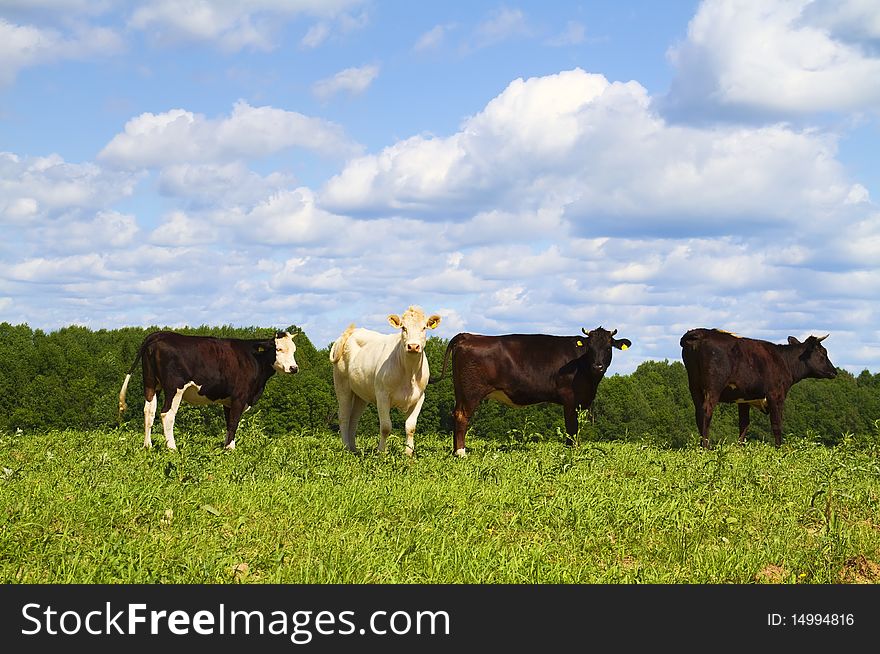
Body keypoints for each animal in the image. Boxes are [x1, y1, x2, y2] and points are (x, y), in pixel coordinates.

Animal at [117, 334, 300, 452]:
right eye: (279, 349)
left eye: (294, 350)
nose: (294, 368)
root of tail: (159, 334)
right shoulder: (239, 397)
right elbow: (234, 422)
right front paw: (231, 449)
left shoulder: (228, 401)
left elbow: (228, 423)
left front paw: (226, 446)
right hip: (174, 388)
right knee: (166, 414)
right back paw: (172, 447)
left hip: (151, 383)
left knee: (149, 411)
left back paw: (147, 445)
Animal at [328, 306, 440, 456]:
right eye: (403, 328)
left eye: (424, 328)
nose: (413, 346)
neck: (409, 373)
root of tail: (351, 331)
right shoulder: (382, 395)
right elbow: (386, 427)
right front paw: (381, 452)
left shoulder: (420, 397)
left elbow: (410, 426)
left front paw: (408, 453)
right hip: (342, 385)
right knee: (344, 417)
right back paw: (346, 448)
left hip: (360, 395)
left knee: (354, 419)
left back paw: (354, 449)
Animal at [430, 326, 628, 458]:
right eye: (590, 348)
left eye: (608, 347)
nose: (598, 366)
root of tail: (467, 336)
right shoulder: (570, 399)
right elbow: (571, 427)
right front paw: (571, 451)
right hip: (471, 391)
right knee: (462, 416)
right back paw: (461, 453)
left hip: (460, 391)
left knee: (456, 414)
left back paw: (455, 451)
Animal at [680, 328, 840, 452]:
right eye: (823, 353)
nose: (834, 371)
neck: (784, 361)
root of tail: (700, 333)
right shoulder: (776, 395)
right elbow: (777, 424)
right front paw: (779, 450)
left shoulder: (743, 399)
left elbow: (744, 425)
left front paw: (739, 450)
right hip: (713, 387)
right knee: (706, 411)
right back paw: (706, 447)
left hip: (694, 386)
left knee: (699, 413)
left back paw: (701, 446)